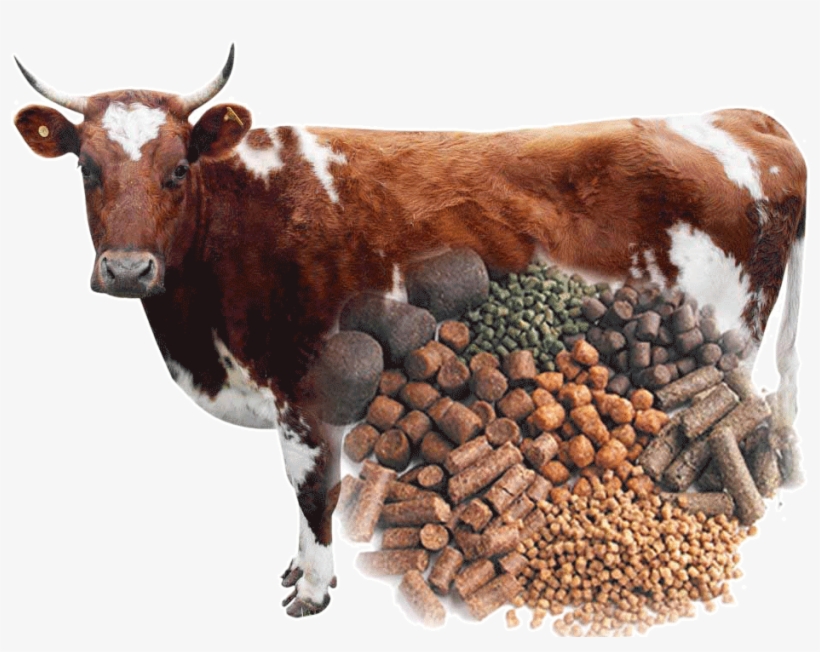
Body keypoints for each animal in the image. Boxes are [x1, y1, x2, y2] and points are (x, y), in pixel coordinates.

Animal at [13, 45, 806, 617]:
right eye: (86, 168)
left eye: (178, 168)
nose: (127, 268)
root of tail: (746, 119)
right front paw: (298, 570)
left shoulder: (305, 396)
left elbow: (312, 494)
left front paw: (313, 590)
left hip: (729, 343)